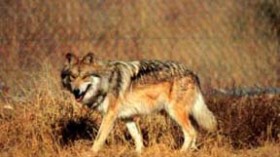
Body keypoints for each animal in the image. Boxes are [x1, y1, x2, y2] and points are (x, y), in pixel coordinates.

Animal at [60, 52, 218, 153]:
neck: (107, 81)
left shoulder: (110, 116)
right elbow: (138, 138)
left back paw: (181, 152)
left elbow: (99, 138)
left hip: (175, 112)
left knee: (191, 132)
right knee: (194, 132)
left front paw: (91, 152)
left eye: (85, 77)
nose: (76, 91)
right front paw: (139, 152)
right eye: (72, 77)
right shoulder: (128, 117)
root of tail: (192, 73)